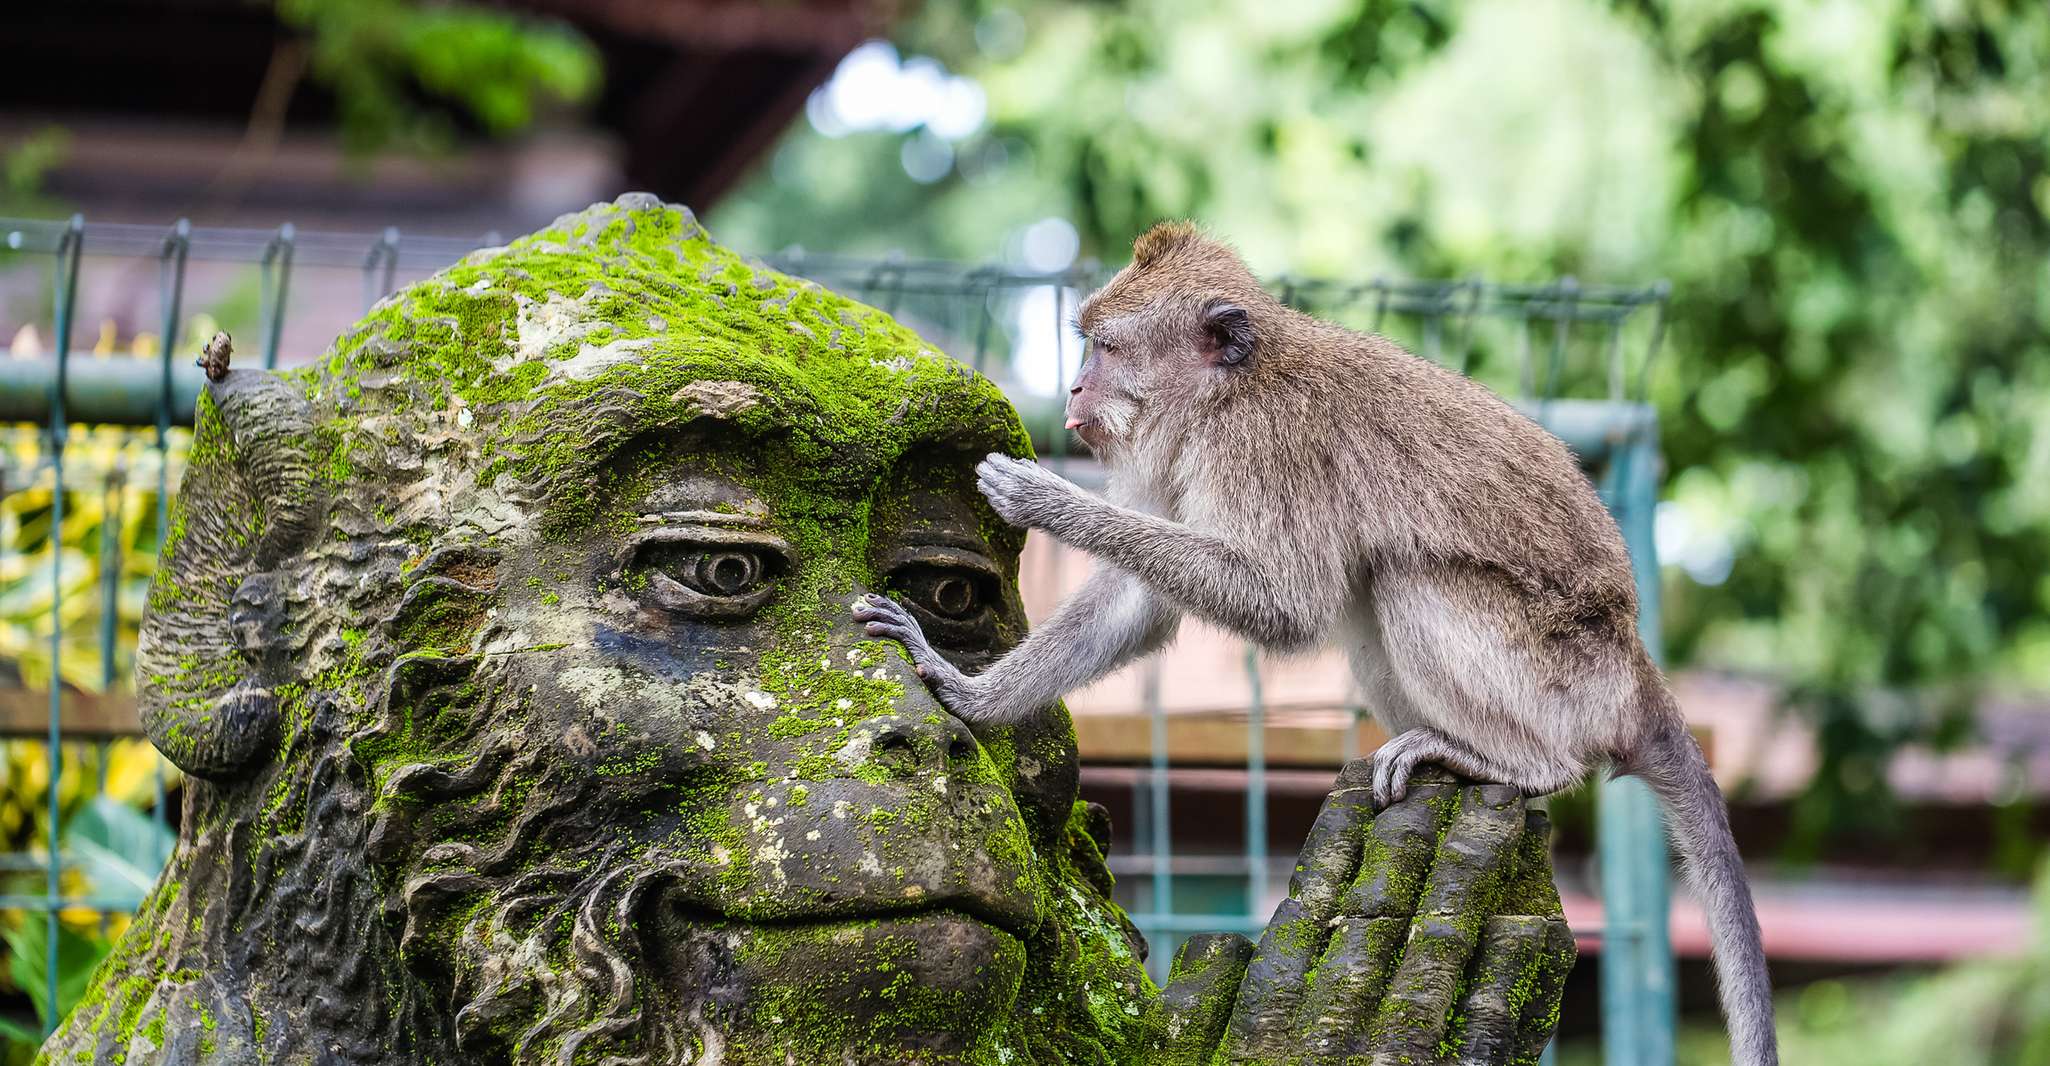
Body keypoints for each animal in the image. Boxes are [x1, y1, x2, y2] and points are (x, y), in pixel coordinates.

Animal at [852, 222, 1777, 1066]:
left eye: (1105, 347)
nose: (1076, 385)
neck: (1229, 392)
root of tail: (1634, 669)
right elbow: (1142, 606)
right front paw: (965, 692)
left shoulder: (1264, 445)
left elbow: (1285, 604)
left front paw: (1046, 501)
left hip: (1559, 674)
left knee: (1405, 583)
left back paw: (1520, 762)